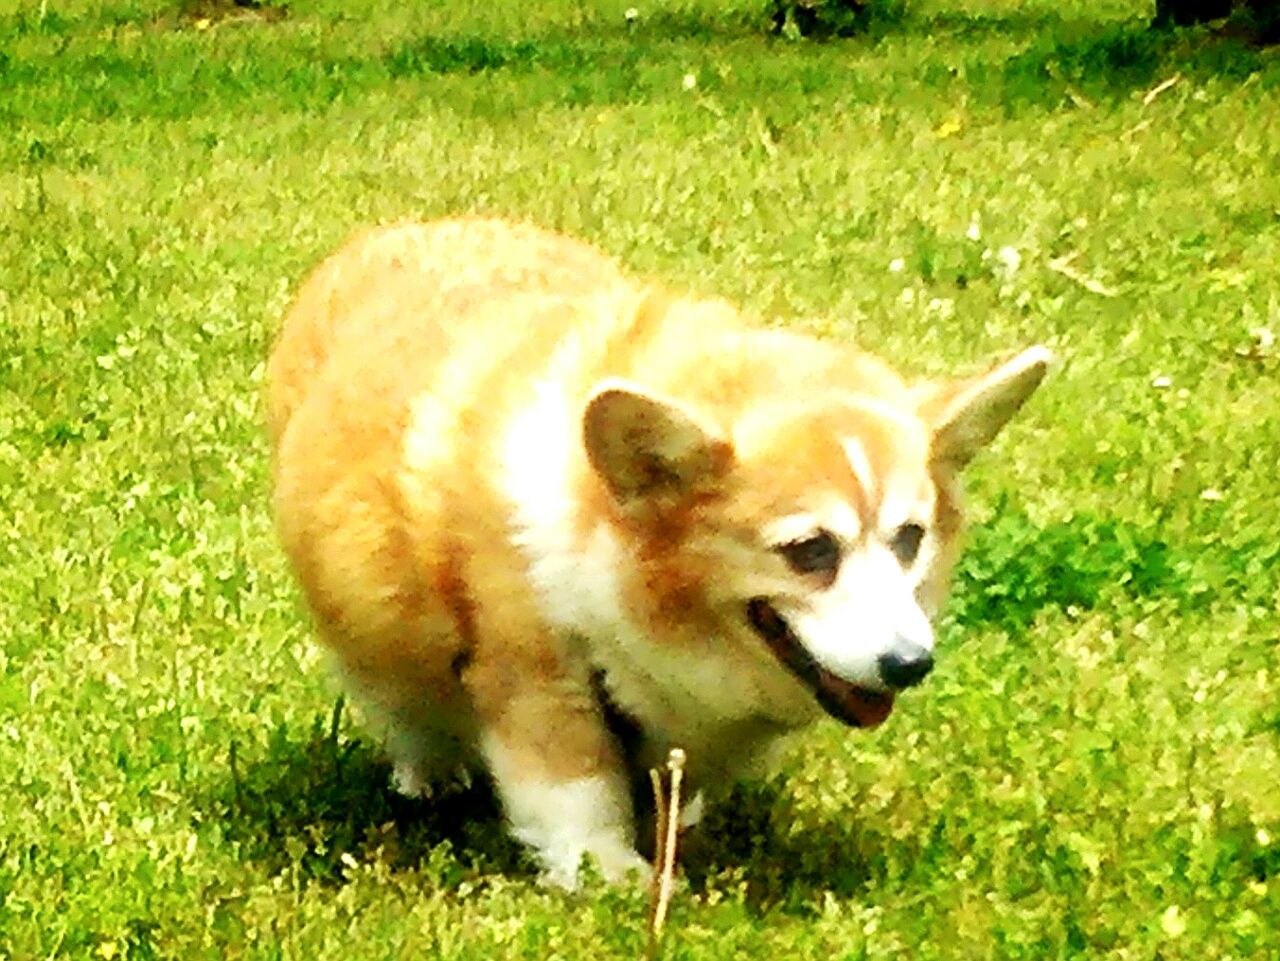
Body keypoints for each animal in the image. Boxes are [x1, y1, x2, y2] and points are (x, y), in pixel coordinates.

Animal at [262, 216, 1049, 885]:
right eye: (809, 550)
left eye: (910, 537)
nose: (911, 665)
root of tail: (404, 229)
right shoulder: (532, 671)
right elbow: (573, 785)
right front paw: (612, 875)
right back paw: (429, 773)